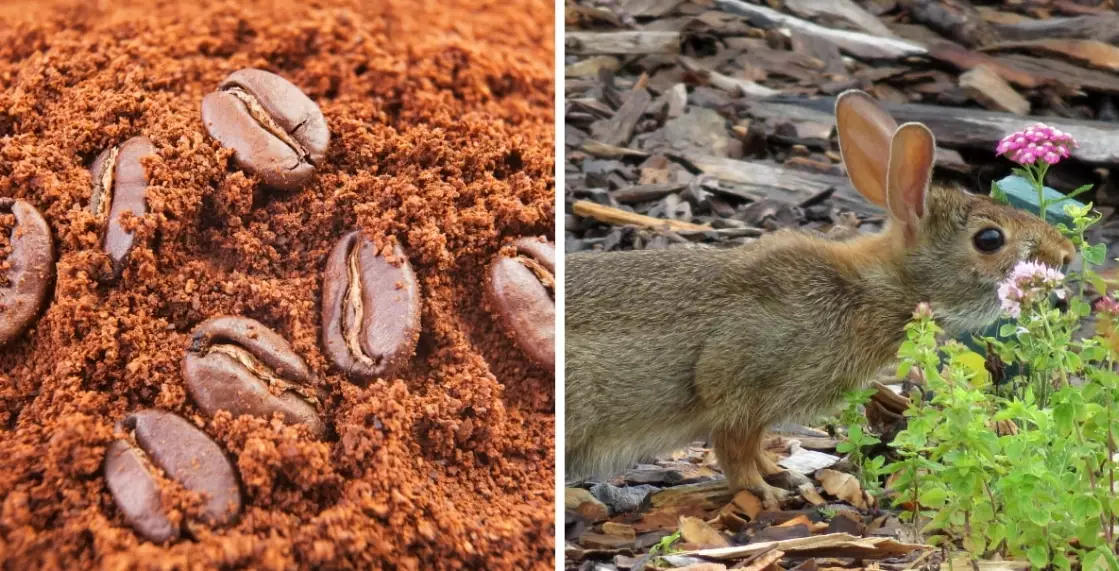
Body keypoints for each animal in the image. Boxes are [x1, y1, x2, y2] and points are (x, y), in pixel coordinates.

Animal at [565, 90, 1076, 505]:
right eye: (989, 239)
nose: (1066, 255)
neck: (871, 289)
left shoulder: (758, 411)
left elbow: (754, 447)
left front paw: (779, 474)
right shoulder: (740, 386)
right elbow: (733, 450)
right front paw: (765, 492)